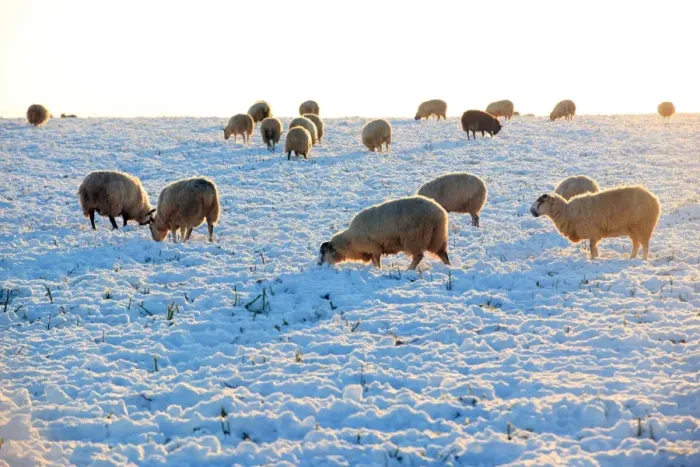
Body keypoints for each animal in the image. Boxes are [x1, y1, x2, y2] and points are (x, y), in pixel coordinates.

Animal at [318, 196, 451, 270]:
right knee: (443, 254)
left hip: (415, 238)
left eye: (323, 252)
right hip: (437, 237)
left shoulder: (374, 248)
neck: (351, 241)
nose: (319, 264)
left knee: (418, 256)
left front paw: (377, 270)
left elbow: (376, 261)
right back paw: (448, 267)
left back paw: (409, 270)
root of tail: (439, 213)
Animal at [529, 186, 660, 260]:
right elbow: (594, 247)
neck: (566, 211)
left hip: (643, 226)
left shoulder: (592, 232)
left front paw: (593, 260)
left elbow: (592, 248)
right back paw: (631, 258)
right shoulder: (594, 233)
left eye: (540, 202)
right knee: (636, 244)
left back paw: (643, 260)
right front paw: (597, 257)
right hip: (632, 228)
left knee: (645, 245)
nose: (531, 211)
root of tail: (655, 199)